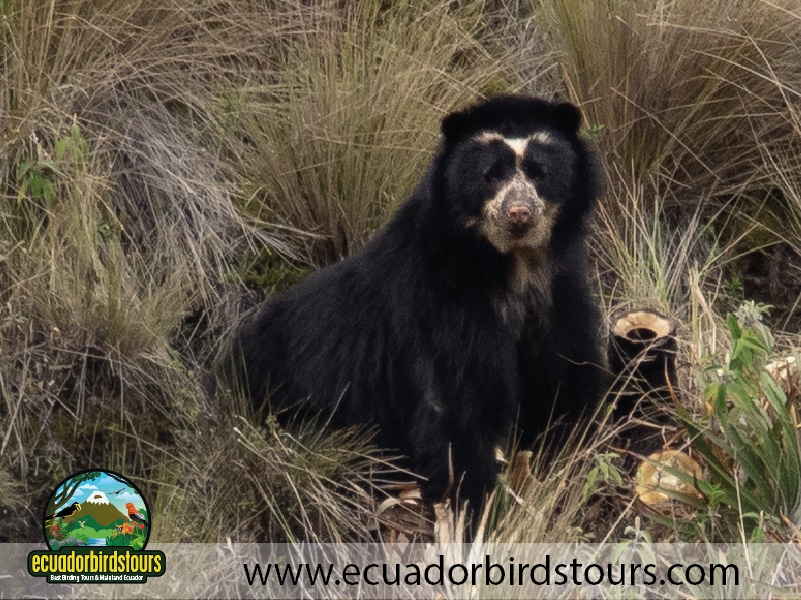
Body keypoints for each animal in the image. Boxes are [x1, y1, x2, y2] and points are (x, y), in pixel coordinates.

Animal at [222, 95, 605, 514]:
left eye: (540, 172)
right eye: (490, 174)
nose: (518, 213)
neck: (512, 264)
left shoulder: (558, 292)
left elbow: (565, 372)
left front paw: (571, 454)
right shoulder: (442, 304)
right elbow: (457, 404)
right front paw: (474, 504)